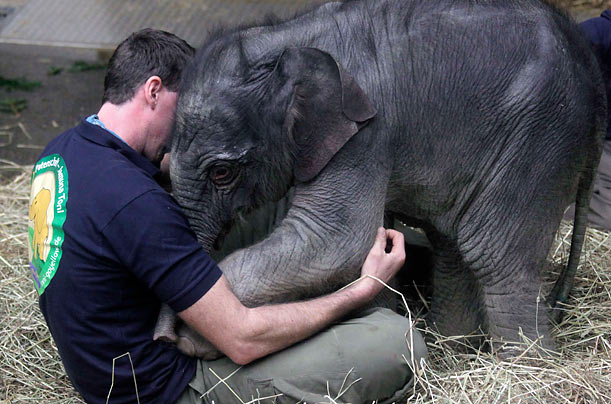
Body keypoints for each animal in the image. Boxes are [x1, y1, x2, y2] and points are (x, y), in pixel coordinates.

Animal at [165, 0, 606, 355]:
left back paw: (526, 368)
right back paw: (453, 351)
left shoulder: (366, 132)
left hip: (540, 136)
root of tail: (590, 67)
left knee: (495, 256)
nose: (165, 336)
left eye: (221, 172)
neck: (286, 40)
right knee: (454, 247)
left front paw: (197, 338)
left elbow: (332, 242)